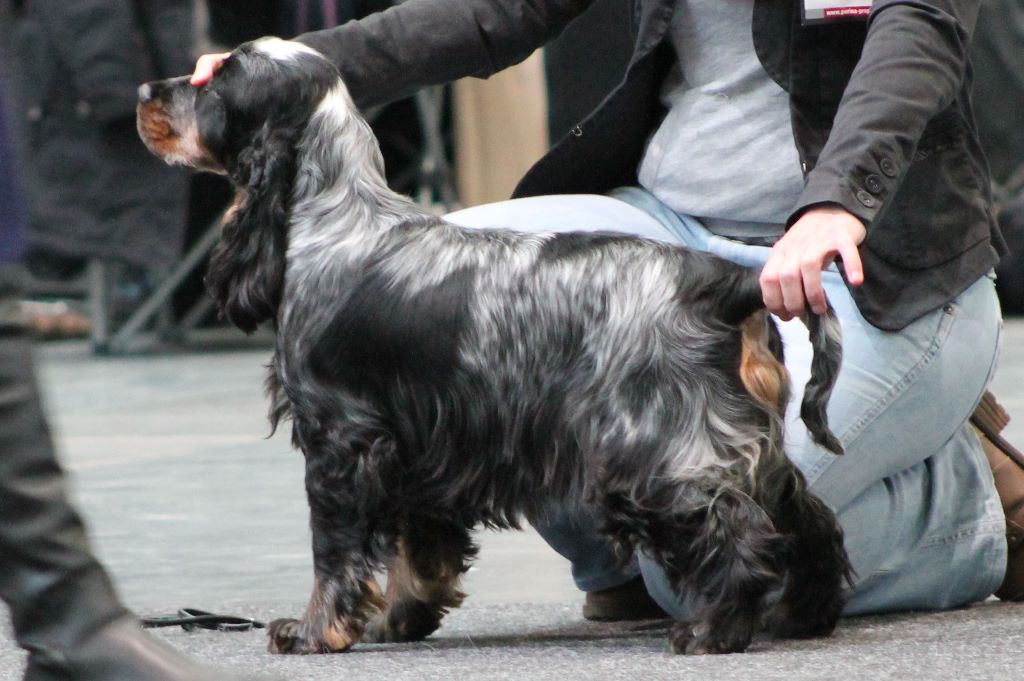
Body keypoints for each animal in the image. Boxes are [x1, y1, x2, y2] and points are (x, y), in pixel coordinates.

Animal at [137, 38, 852, 655]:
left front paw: (313, 631)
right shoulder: (417, 439)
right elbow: (418, 547)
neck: (335, 217)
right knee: (808, 517)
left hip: (654, 450)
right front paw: (400, 617)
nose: (145, 90)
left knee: (737, 531)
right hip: (748, 442)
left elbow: (334, 547)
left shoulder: (340, 436)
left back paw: (713, 629)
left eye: (217, 81)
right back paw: (803, 614)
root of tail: (722, 281)